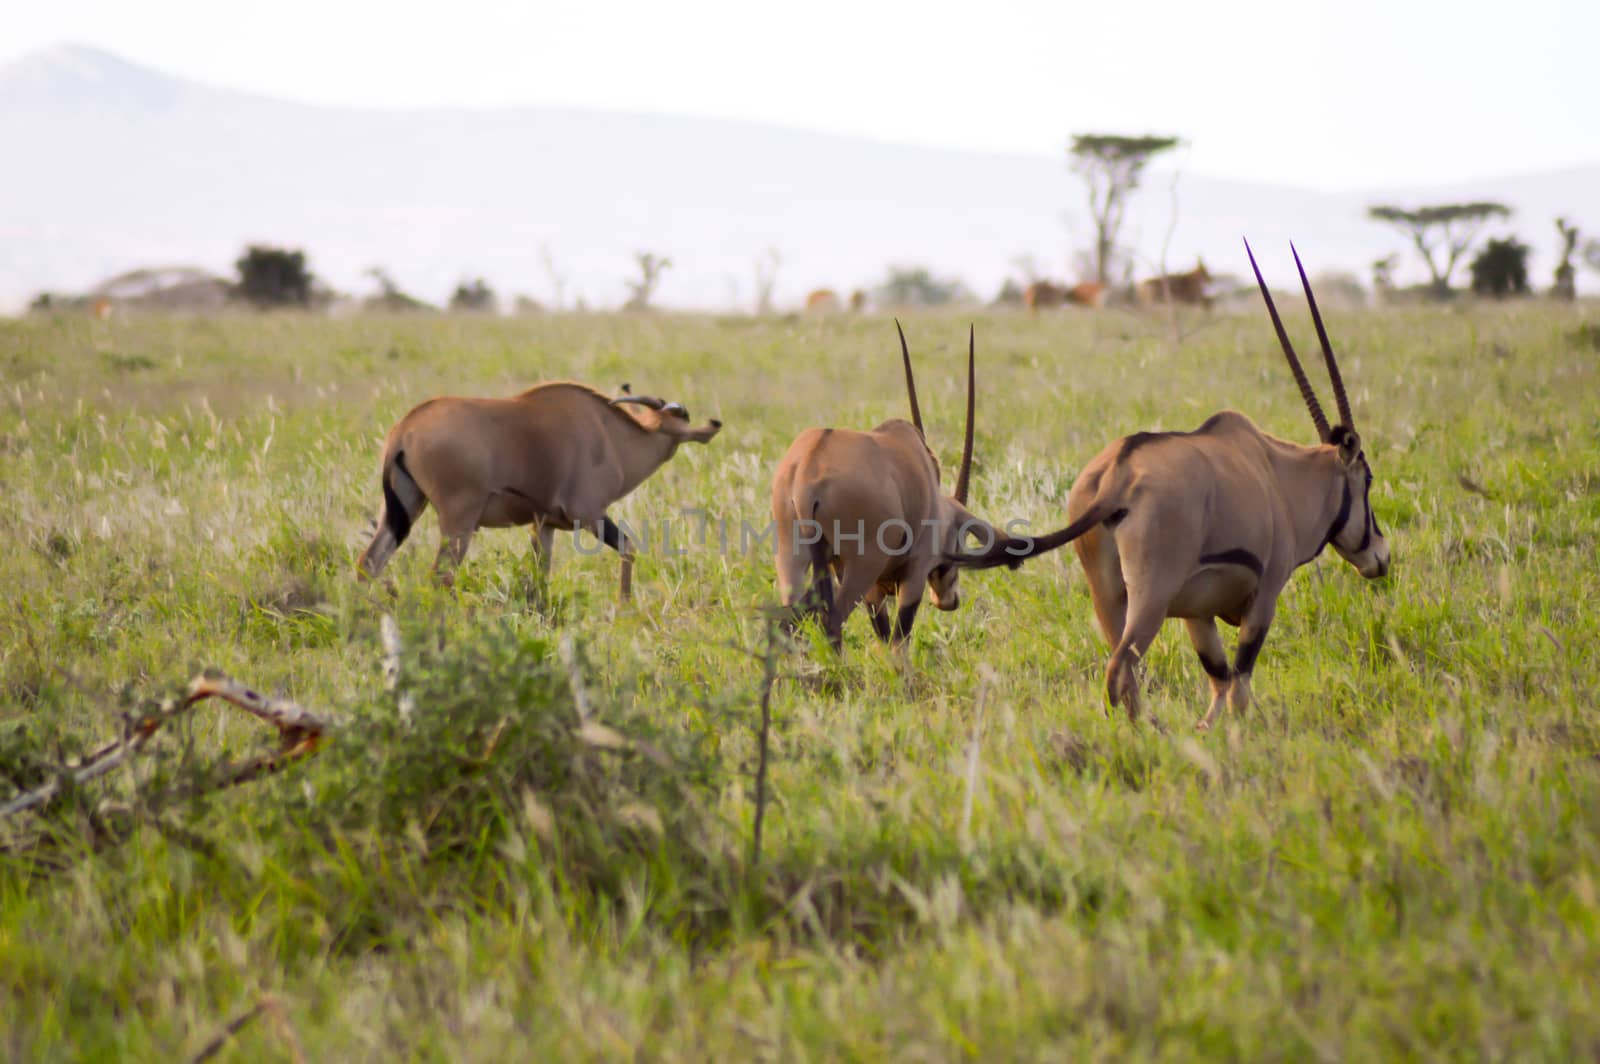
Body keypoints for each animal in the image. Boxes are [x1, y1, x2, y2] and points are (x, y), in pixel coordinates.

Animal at [358, 382, 726, 598]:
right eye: (682, 418)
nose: (714, 423)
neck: (609, 436)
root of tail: (405, 429)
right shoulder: (590, 515)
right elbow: (629, 547)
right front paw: (624, 607)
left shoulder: (544, 524)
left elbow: (540, 576)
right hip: (458, 521)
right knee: (440, 576)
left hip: (404, 509)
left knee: (369, 562)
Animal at [771, 321, 998, 646]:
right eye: (960, 536)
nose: (948, 601)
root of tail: (806, 476)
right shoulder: (913, 575)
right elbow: (898, 637)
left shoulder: (875, 590)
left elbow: (881, 632)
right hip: (862, 567)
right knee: (832, 620)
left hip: (793, 559)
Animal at [953, 243, 1395, 726]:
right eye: (1368, 478)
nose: (1381, 556)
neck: (1280, 477)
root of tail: (1117, 476)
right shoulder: (1265, 596)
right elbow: (1239, 683)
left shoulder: (1196, 613)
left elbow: (1218, 682)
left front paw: (1208, 731)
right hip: (1151, 596)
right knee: (1120, 668)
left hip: (1109, 595)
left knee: (1124, 672)